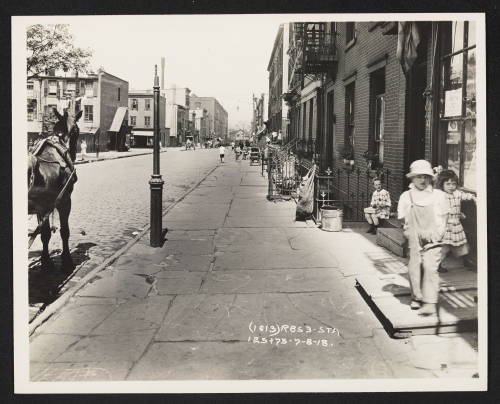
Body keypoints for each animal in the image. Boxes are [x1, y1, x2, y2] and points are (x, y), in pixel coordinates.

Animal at [27, 105, 82, 270]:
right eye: (76, 130)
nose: (72, 154)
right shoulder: (65, 201)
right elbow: (64, 231)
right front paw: (67, 260)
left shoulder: (43, 207)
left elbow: (44, 234)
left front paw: (45, 261)